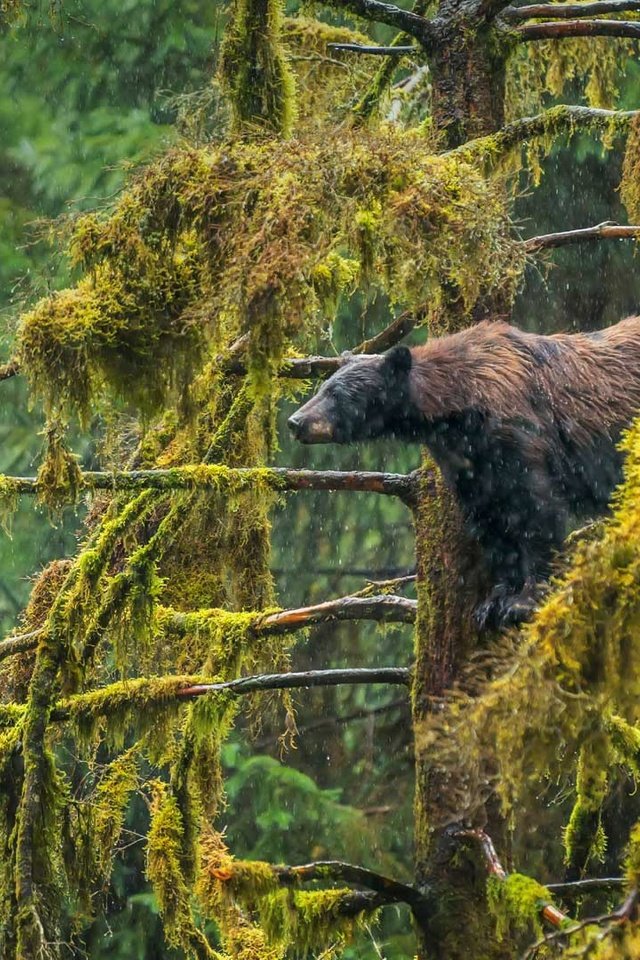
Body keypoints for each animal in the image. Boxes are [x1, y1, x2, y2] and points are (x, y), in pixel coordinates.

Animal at [288, 316, 640, 632]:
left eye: (337, 394)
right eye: (322, 387)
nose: (295, 421)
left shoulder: (520, 438)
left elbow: (537, 512)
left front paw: (524, 601)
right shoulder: (471, 466)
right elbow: (492, 525)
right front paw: (493, 603)